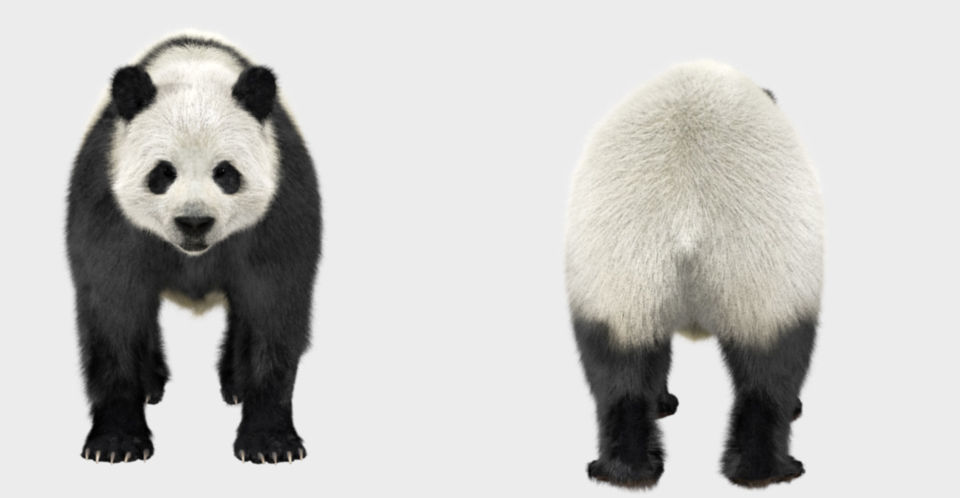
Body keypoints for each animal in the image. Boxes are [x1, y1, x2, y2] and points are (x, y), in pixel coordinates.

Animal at [67, 32, 321, 464]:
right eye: (163, 173)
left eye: (226, 173)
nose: (194, 222)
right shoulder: (107, 209)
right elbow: (115, 312)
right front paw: (116, 443)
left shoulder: (280, 209)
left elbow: (272, 310)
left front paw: (270, 443)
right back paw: (152, 384)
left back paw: (234, 386)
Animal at [565, 61, 823, 487]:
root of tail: (686, 208)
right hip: (765, 264)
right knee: (772, 370)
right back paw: (767, 469)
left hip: (615, 272)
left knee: (617, 372)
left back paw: (625, 470)